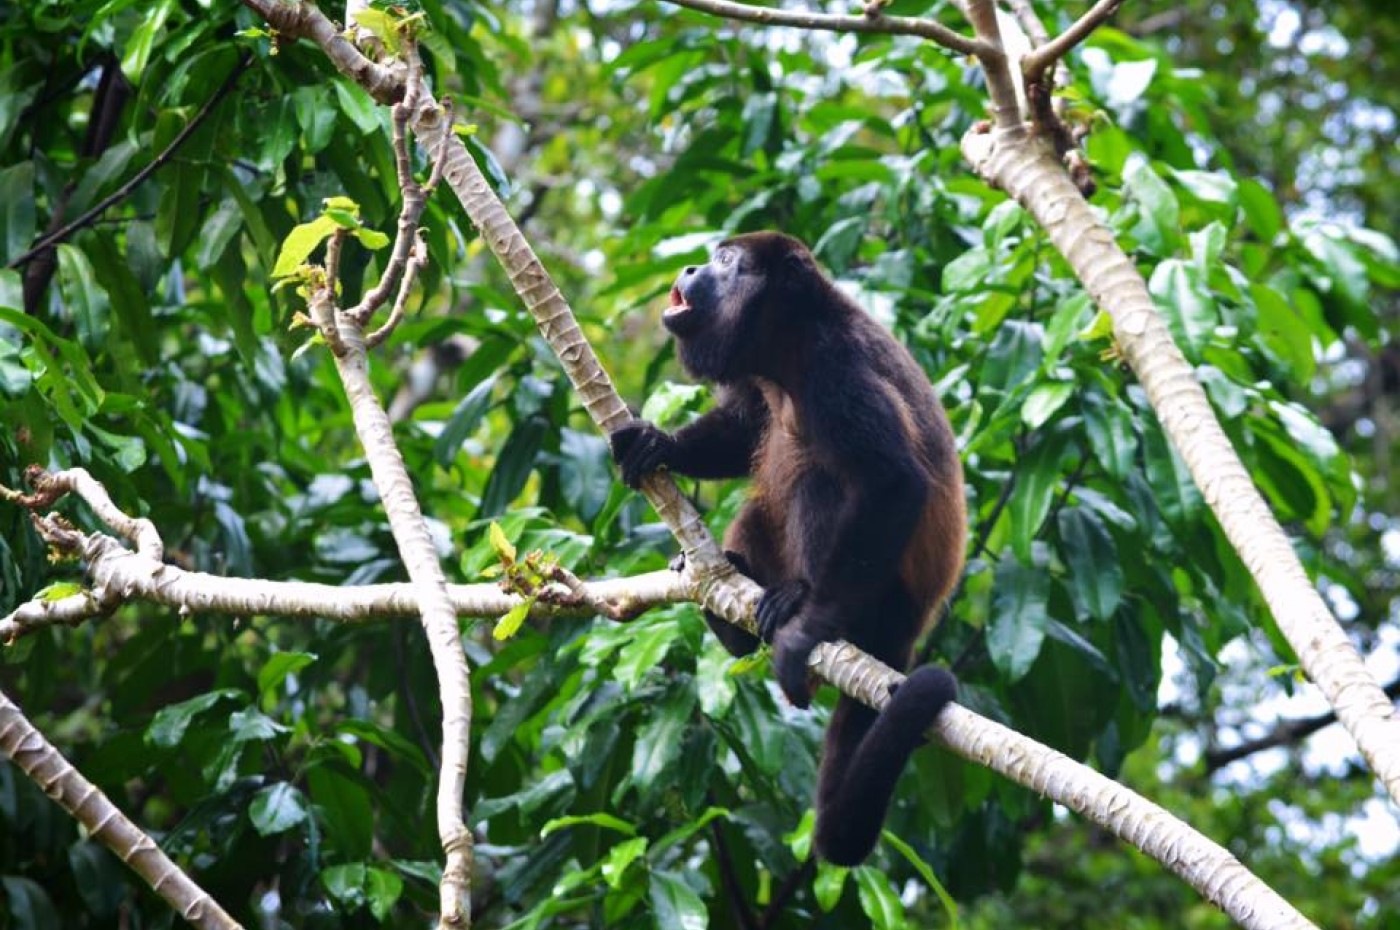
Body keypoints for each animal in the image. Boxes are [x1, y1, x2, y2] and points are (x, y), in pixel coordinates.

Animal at [610, 232, 966, 866]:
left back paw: (800, 602)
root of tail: (909, 628)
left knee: (818, 479)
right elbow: (744, 427)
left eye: (726, 260)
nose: (692, 265)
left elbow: (895, 481)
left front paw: (807, 633)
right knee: (765, 497)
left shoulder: (835, 366)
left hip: (886, 597)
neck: (784, 351)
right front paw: (656, 443)